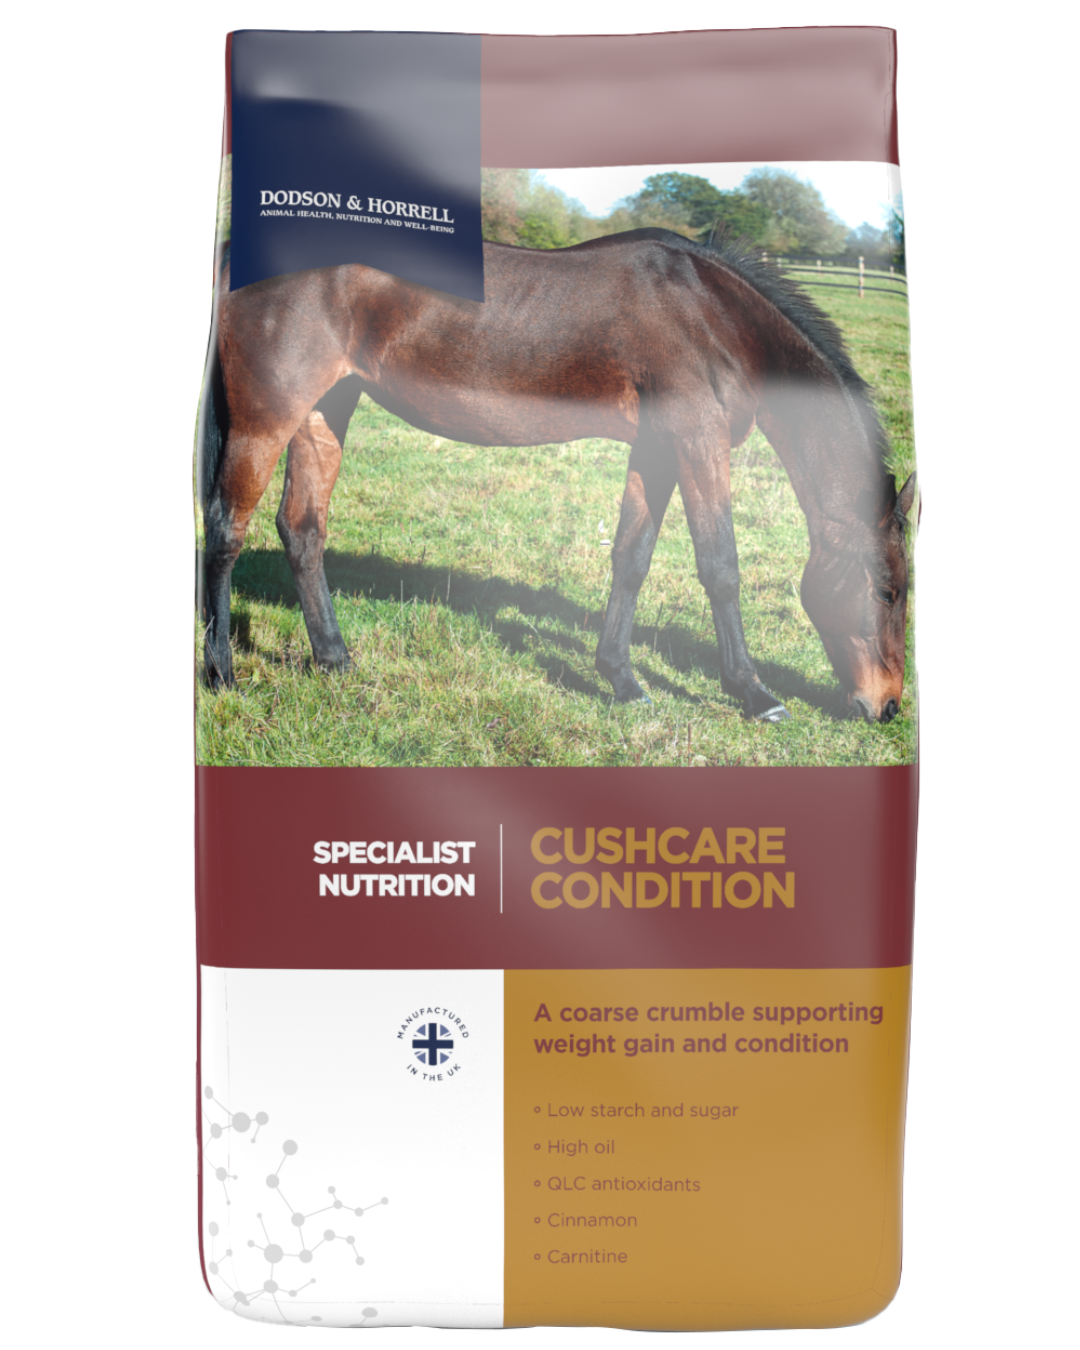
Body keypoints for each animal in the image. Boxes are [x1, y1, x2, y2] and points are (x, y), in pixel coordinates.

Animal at [197, 227, 915, 724]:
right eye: (889, 591)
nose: (886, 707)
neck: (713, 318)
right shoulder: (697, 440)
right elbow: (720, 568)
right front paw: (754, 692)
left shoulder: (657, 449)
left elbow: (631, 559)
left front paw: (621, 680)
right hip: (266, 415)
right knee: (226, 530)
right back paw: (222, 674)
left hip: (325, 410)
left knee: (302, 530)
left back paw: (335, 660)